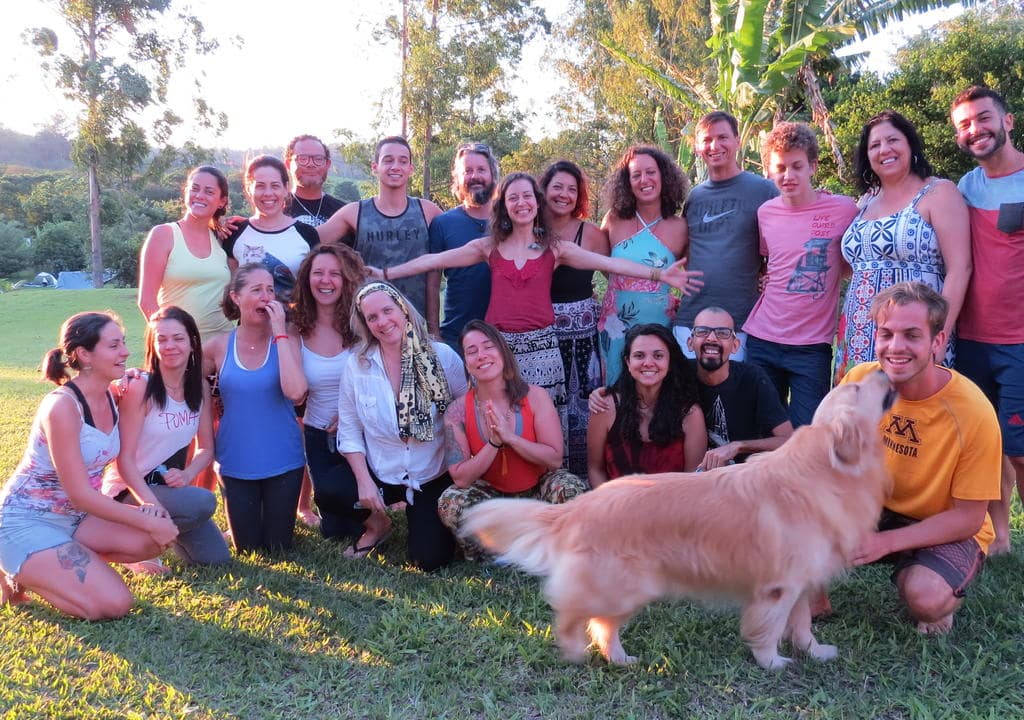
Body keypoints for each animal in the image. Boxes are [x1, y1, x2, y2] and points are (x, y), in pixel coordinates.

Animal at [460, 372, 892, 671]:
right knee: (573, 613)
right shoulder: (777, 588)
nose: (886, 372)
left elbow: (802, 627)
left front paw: (815, 652)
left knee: (601, 625)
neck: (823, 468)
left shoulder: (802, 582)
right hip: (625, 586)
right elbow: (767, 630)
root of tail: (583, 504)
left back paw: (620, 659)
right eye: (856, 389)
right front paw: (772, 663)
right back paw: (573, 650)